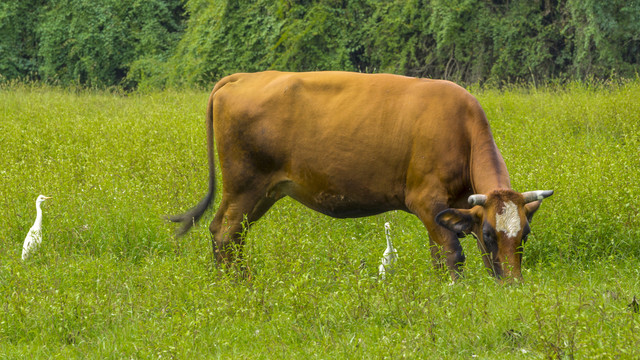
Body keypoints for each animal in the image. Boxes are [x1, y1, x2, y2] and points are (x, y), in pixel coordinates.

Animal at [170, 70, 556, 282]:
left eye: (524, 234)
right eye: (492, 233)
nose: (514, 285)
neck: (460, 128)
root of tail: (242, 77)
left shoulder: (460, 207)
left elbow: (456, 252)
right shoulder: (426, 201)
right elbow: (451, 254)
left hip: (264, 191)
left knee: (234, 235)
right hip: (244, 185)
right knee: (224, 232)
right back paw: (235, 288)